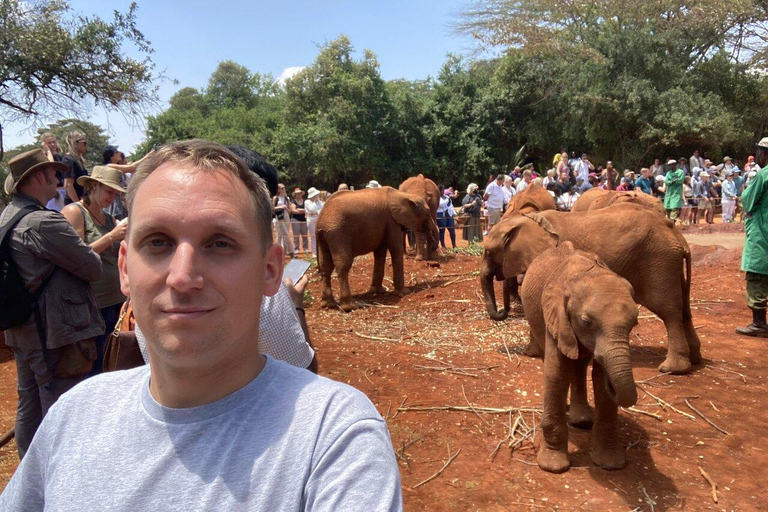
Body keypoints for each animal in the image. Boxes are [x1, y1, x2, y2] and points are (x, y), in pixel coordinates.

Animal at [520, 242, 640, 474]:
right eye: (586, 322)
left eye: (634, 323)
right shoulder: (555, 316)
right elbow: (556, 373)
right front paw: (552, 466)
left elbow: (600, 381)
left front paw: (610, 464)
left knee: (580, 365)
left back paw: (582, 420)